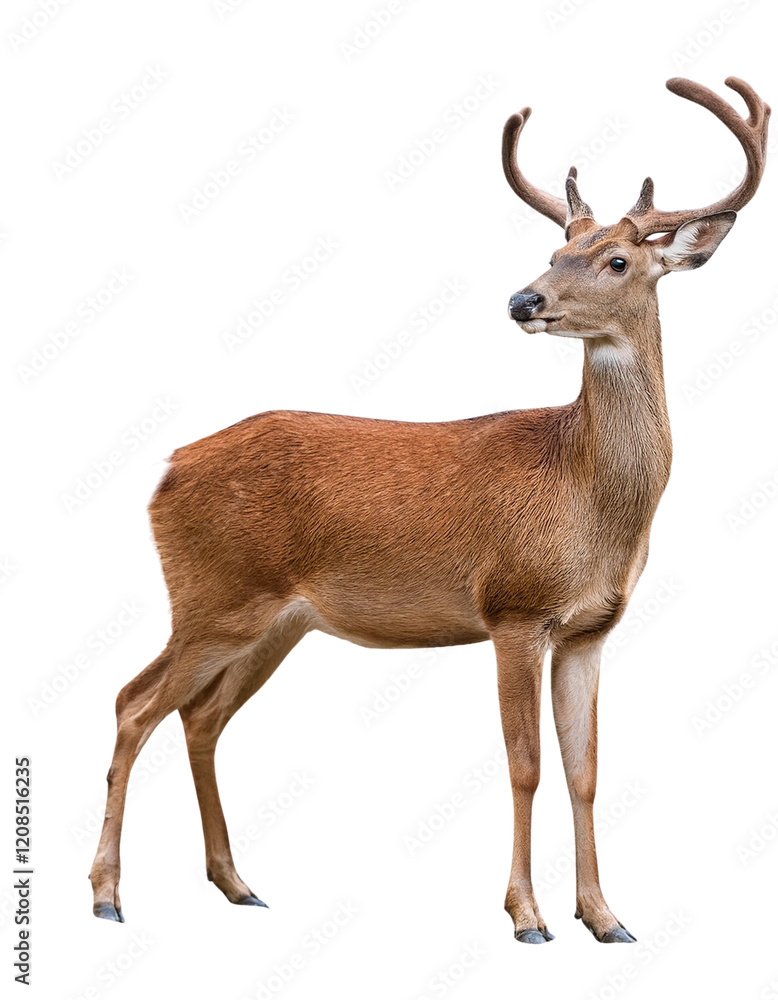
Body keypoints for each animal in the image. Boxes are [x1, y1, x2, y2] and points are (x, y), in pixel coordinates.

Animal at [89, 76, 769, 943]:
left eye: (616, 259)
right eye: (555, 251)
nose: (523, 299)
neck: (586, 496)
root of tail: (166, 471)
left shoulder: (590, 629)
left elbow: (584, 771)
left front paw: (606, 917)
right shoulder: (514, 607)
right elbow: (525, 765)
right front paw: (527, 916)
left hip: (275, 621)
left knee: (200, 717)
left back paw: (238, 884)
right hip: (211, 595)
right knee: (132, 703)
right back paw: (108, 895)